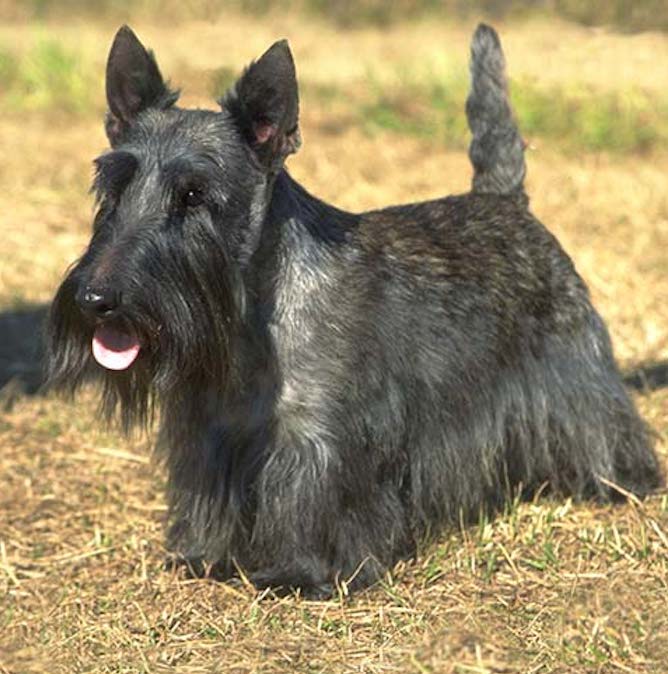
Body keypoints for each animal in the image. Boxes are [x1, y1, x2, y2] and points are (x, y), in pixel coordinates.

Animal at [48, 23, 664, 596]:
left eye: (195, 195)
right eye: (113, 187)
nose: (95, 299)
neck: (256, 315)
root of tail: (505, 200)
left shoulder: (321, 441)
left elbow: (316, 504)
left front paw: (301, 573)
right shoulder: (211, 435)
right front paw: (204, 555)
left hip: (575, 369)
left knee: (602, 422)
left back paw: (619, 481)